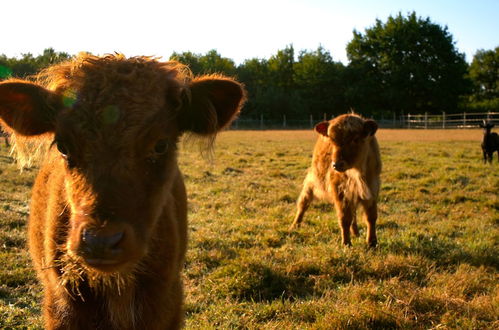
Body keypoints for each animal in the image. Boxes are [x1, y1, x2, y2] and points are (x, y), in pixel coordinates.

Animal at [290, 114, 382, 246]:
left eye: (355, 139)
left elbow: (371, 216)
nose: (336, 164)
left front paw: (372, 242)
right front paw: (346, 243)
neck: (357, 172)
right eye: (332, 140)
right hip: (312, 181)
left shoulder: (372, 189)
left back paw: (356, 232)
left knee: (353, 213)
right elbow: (344, 218)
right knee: (303, 203)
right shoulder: (340, 190)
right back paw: (294, 226)